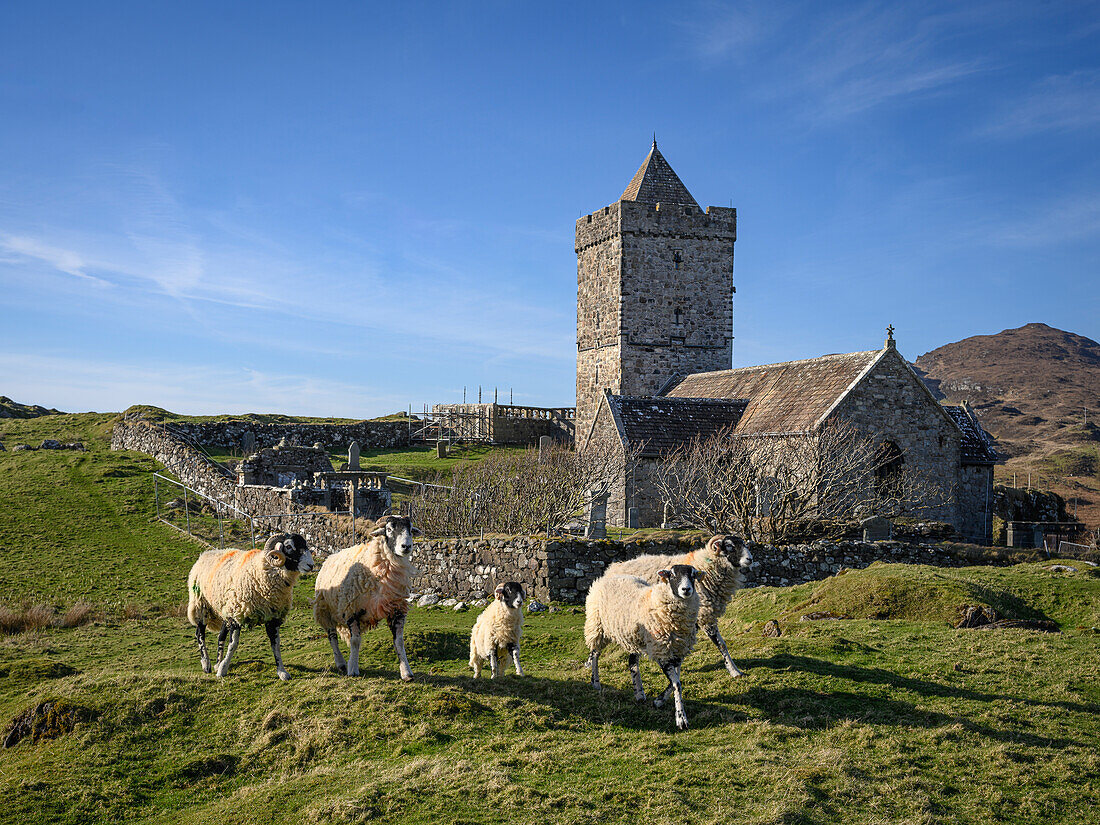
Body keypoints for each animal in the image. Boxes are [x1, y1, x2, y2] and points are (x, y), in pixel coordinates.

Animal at [185, 532, 314, 682]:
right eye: (288, 546)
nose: (311, 565)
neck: (262, 572)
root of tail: (204, 554)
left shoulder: (273, 617)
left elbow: (276, 644)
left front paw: (282, 672)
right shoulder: (237, 615)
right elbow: (233, 644)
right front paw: (223, 671)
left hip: (225, 610)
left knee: (221, 636)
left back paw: (217, 663)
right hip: (201, 604)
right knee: (200, 633)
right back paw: (207, 664)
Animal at [314, 517, 424, 686]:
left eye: (410, 530)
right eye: (389, 529)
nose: (406, 546)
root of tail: (329, 557)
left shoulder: (397, 609)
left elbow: (399, 642)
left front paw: (406, 673)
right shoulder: (351, 610)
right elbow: (355, 641)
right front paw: (353, 670)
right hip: (325, 610)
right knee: (332, 637)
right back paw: (341, 663)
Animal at [585, 567, 704, 734]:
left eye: (693, 575)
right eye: (673, 575)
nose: (686, 589)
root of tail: (605, 578)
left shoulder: (677, 651)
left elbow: (676, 681)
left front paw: (659, 701)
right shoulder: (661, 651)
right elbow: (677, 684)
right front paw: (681, 719)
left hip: (633, 637)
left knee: (632, 662)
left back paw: (639, 693)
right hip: (597, 626)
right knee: (595, 654)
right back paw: (595, 682)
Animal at [607, 536, 752, 677]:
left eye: (744, 544)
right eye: (729, 546)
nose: (750, 559)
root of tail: (612, 567)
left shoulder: (688, 622)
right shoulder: (704, 617)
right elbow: (721, 645)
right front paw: (735, 671)